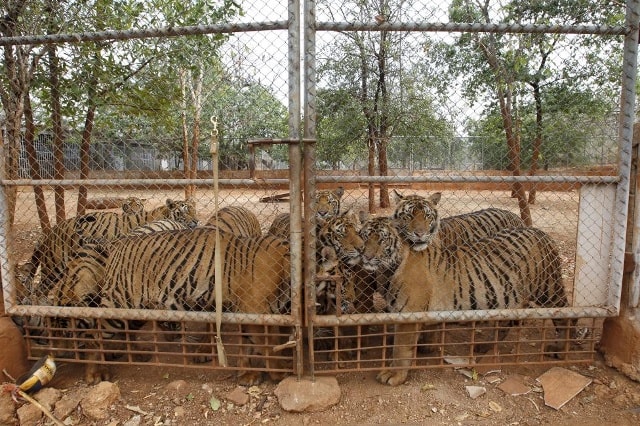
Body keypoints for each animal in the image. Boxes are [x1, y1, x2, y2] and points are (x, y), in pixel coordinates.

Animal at [77, 230, 290, 386]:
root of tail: (117, 243)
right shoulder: (255, 311)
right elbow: (269, 345)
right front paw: (281, 373)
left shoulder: (246, 313)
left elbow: (247, 344)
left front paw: (248, 374)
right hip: (118, 304)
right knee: (93, 335)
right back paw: (95, 373)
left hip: (135, 311)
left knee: (125, 332)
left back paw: (138, 354)